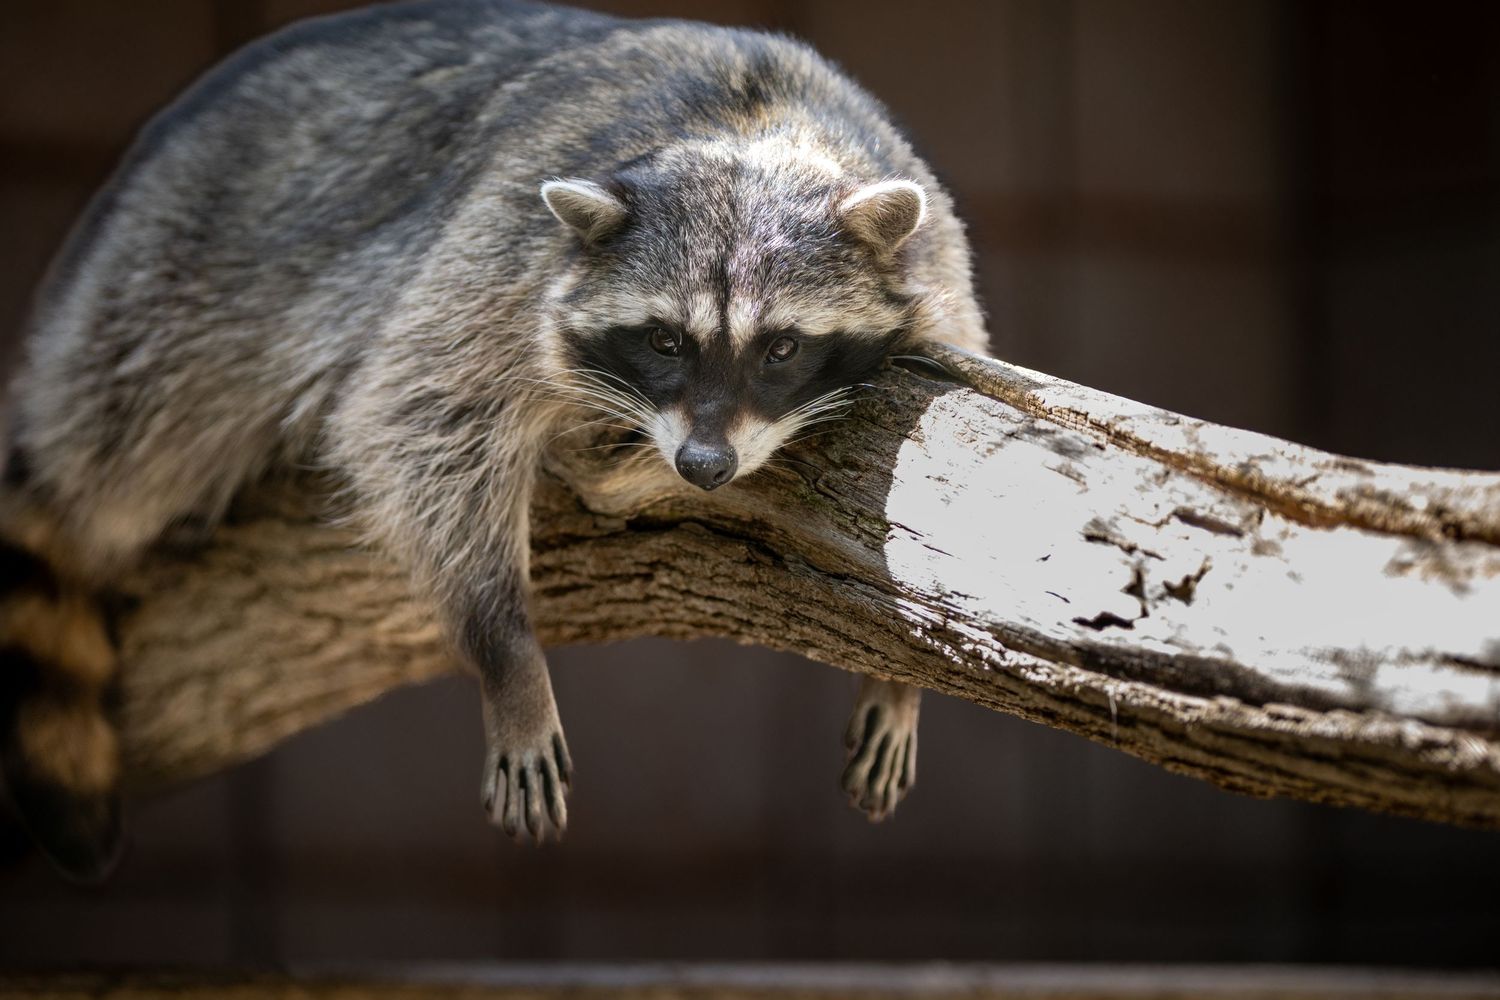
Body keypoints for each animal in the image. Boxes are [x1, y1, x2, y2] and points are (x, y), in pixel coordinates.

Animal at [0, 0, 988, 879]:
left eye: (781, 348)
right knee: (128, 438)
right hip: (161, 295)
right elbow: (414, 410)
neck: (757, 123)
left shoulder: (937, 251)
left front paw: (899, 677)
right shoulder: (501, 247)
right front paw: (505, 644)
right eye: (665, 341)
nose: (704, 465)